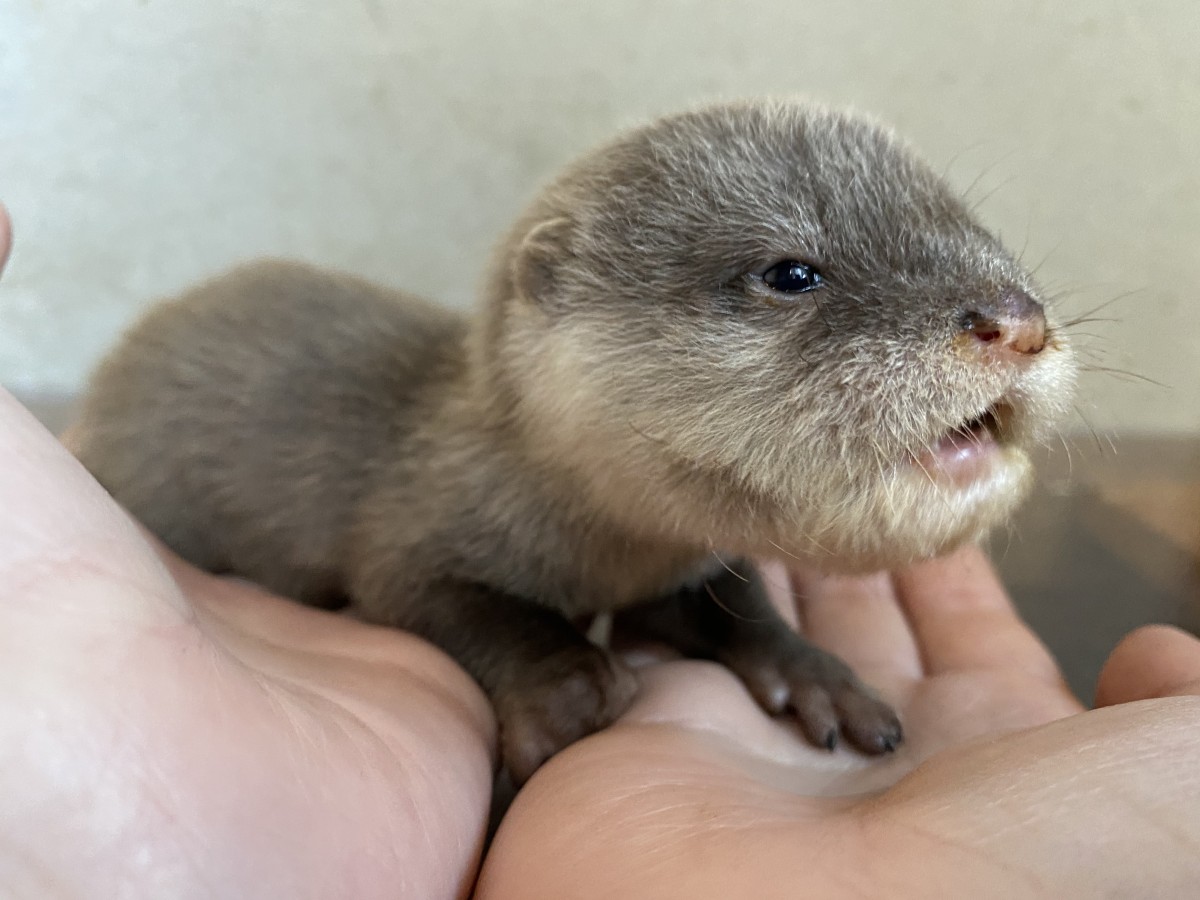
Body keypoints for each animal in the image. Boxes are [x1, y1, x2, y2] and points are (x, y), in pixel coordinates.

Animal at [75, 102, 1080, 787]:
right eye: (792, 272)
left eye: (975, 228)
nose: (1018, 321)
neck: (606, 556)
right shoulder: (415, 526)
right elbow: (455, 602)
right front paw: (565, 691)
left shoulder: (676, 565)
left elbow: (737, 604)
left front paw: (817, 676)